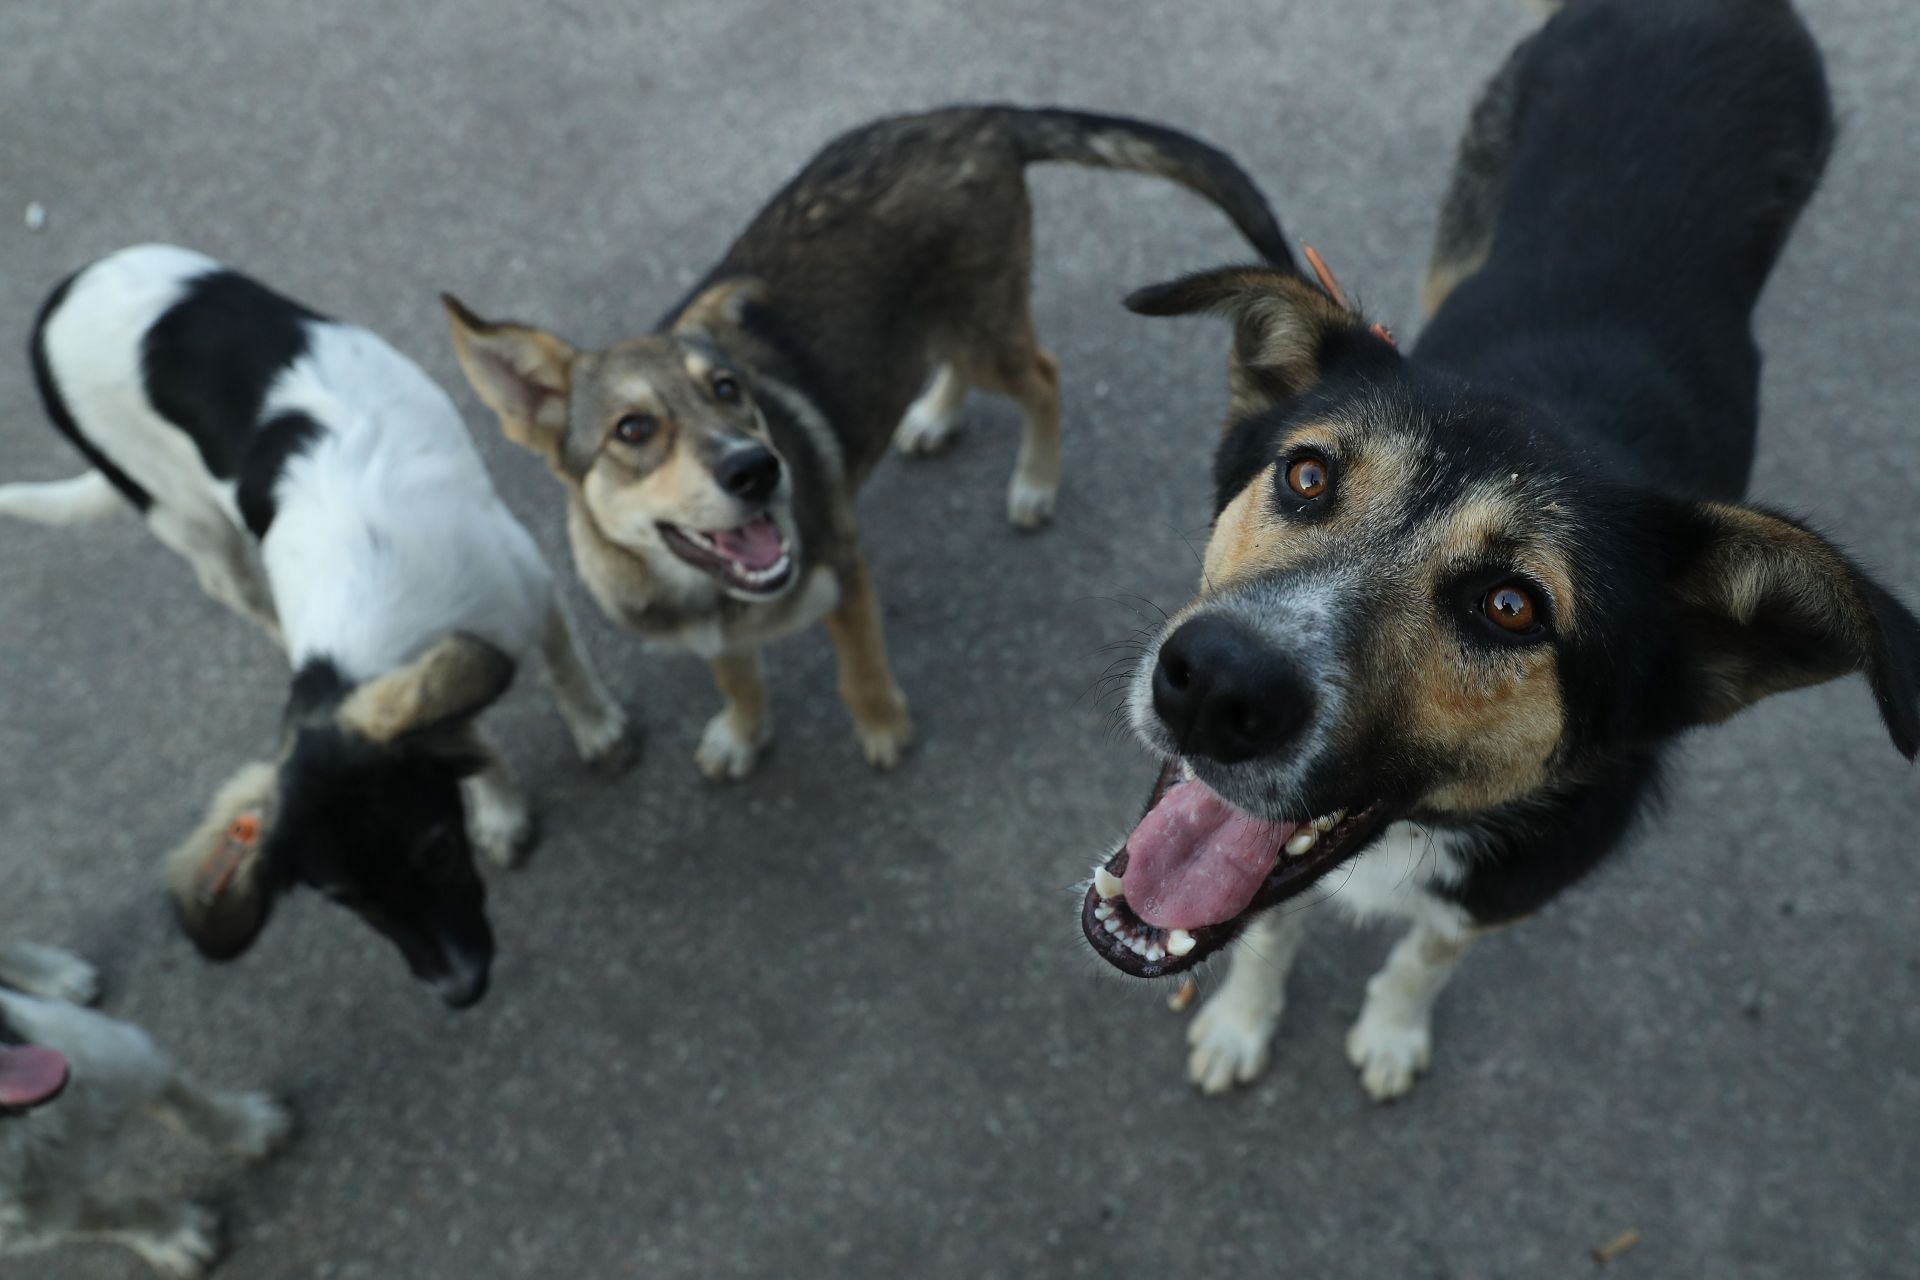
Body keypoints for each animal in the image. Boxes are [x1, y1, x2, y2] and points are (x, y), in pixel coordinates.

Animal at [0, 247, 629, 1013]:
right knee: (237, 586)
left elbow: (561, 669)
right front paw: (500, 805)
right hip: (189, 525)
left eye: (437, 852)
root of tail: (57, 302)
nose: (460, 990)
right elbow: (469, 735)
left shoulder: (526, 583)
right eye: (344, 898)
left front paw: (597, 730)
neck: (363, 639)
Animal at [1, 936, 293, 1274]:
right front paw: (173, 1235)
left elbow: (190, 1107)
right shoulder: (33, 1220)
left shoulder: (120, 1055)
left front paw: (244, 1125)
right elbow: (115, 1214)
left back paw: (55, 972)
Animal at [445, 102, 1290, 782]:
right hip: (937, 321)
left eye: (728, 391)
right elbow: (738, 678)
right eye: (633, 429)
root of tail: (977, 118)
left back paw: (1034, 481)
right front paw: (744, 733)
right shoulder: (711, 633)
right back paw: (934, 415)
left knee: (1043, 377)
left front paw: (884, 728)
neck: (707, 587)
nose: (760, 472)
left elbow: (859, 671)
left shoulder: (845, 576)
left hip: (982, 321)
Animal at [1075, 0, 1912, 1105]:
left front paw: (1390, 1029)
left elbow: (1427, 952)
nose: (1213, 684)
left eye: (1512, 606)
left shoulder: (1508, 887)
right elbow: (1268, 925)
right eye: (1308, 476)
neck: (1420, 829)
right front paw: (1243, 1020)